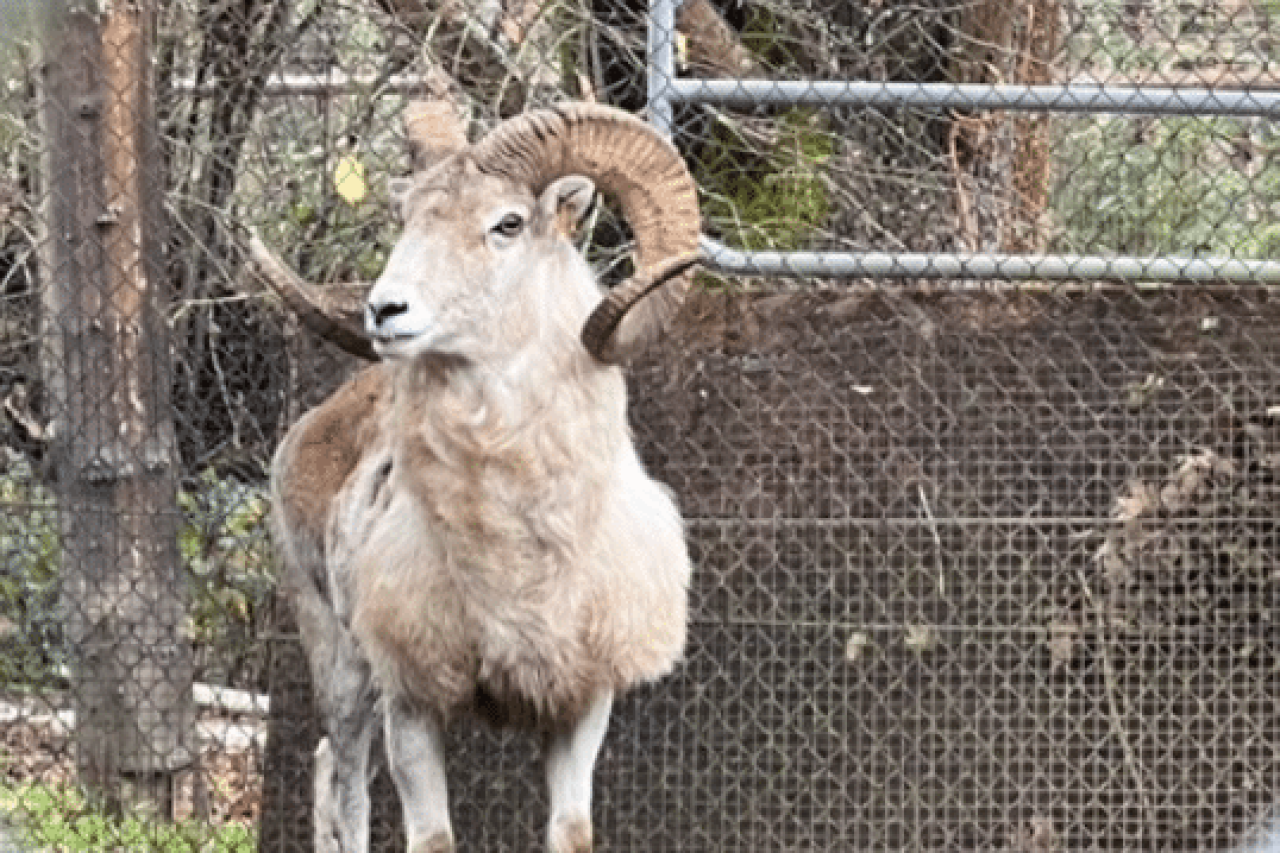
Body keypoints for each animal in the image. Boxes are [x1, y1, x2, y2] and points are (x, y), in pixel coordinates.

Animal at [256, 100, 702, 853]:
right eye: (409, 219)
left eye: (508, 223)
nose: (385, 311)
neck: (519, 560)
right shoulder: (412, 701)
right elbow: (432, 837)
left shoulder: (581, 705)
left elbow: (571, 830)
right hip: (342, 667)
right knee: (344, 789)